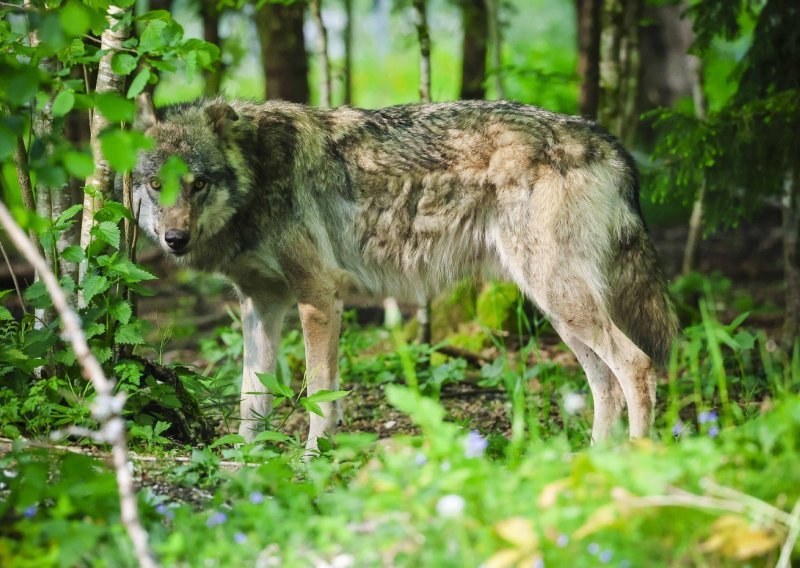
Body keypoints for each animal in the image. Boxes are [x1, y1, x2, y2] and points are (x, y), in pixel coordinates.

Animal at [133, 94, 680, 448]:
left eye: (198, 184)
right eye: (157, 185)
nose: (175, 240)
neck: (256, 172)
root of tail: (609, 142)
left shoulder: (318, 296)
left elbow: (319, 394)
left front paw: (313, 462)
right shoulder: (260, 304)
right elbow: (252, 398)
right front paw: (245, 465)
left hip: (560, 298)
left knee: (636, 366)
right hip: (560, 311)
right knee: (605, 384)